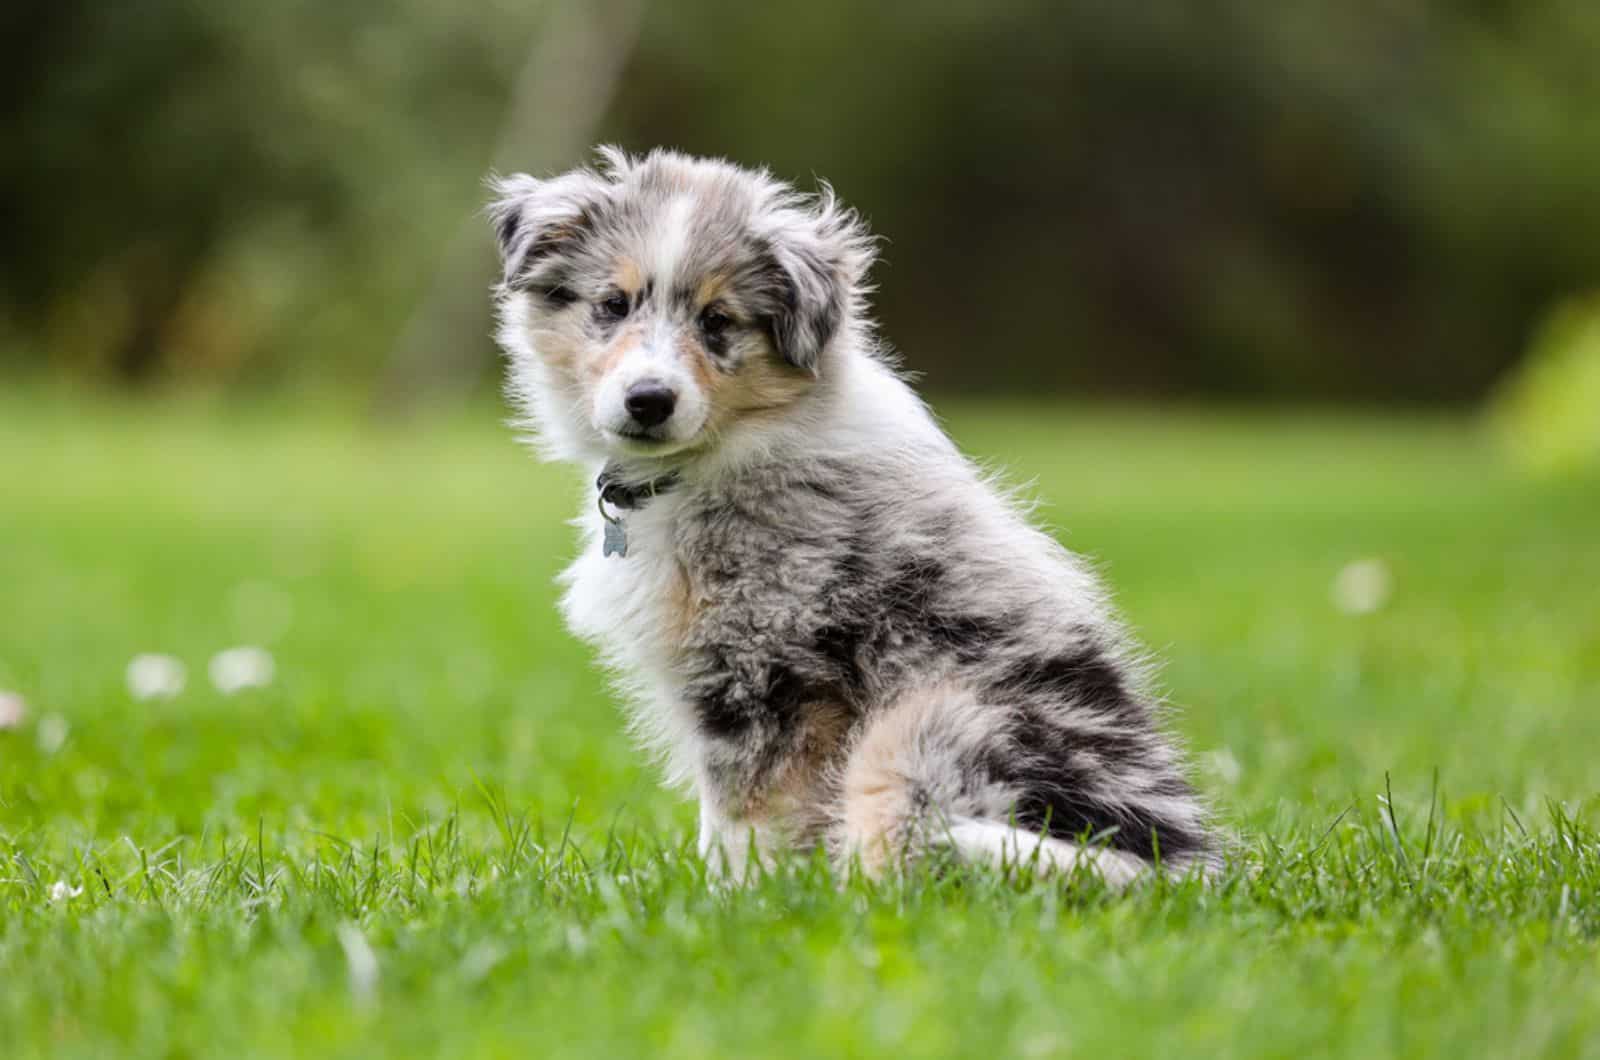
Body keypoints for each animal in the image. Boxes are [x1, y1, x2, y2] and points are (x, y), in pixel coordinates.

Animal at [486, 145, 1209, 883]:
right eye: (612, 304)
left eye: (718, 321)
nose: (649, 400)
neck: (724, 452)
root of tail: (1177, 864)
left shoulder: (769, 671)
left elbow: (745, 815)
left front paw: (737, 897)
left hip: (923, 727)